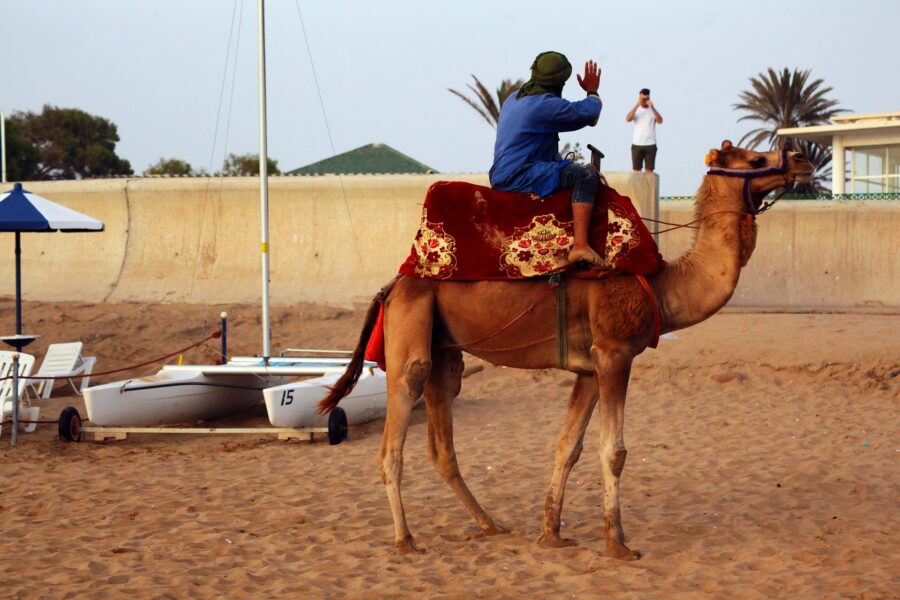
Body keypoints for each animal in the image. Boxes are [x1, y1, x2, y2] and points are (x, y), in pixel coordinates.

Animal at [318, 145, 813, 559]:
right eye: (754, 158)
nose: (801, 158)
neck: (661, 285)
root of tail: (392, 284)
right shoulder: (615, 352)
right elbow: (613, 451)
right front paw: (618, 545)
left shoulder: (590, 367)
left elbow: (567, 447)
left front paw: (551, 533)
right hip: (411, 333)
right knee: (394, 435)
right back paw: (406, 539)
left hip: (445, 352)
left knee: (443, 445)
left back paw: (491, 525)